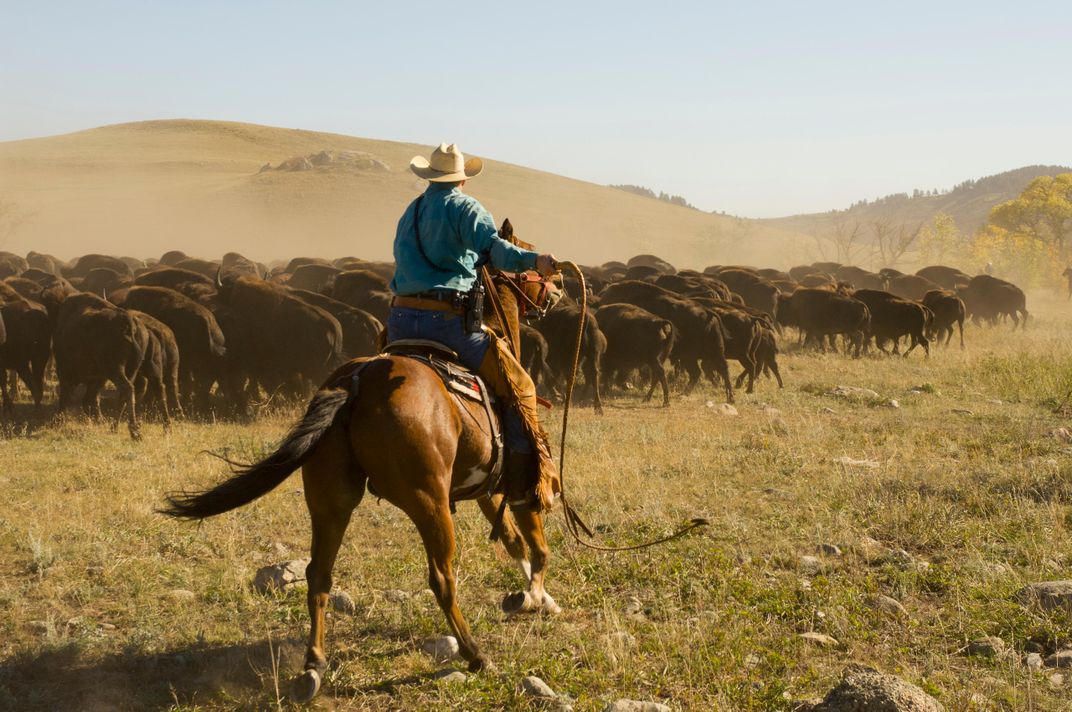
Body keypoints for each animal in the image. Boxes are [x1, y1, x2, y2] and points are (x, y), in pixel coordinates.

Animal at [161, 224, 561, 699]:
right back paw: (474, 654)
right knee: (442, 578)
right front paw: (533, 598)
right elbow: (538, 547)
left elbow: (514, 542)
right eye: (529, 257)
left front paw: (537, 599)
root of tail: (356, 381)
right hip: (428, 502)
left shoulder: (487, 488)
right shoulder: (519, 484)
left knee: (318, 574)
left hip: (330, 499)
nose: (557, 285)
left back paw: (313, 668)